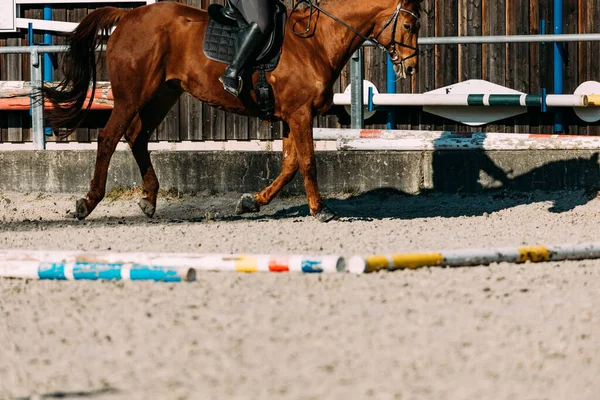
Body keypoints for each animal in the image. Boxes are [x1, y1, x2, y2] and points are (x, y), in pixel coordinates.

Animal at [43, 0, 422, 222]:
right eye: (409, 25)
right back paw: (87, 202)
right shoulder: (300, 114)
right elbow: (308, 162)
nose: (411, 68)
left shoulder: (291, 115)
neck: (316, 42)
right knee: (109, 138)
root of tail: (128, 15)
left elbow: (290, 165)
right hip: (131, 96)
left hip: (163, 94)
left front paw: (251, 202)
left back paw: (149, 200)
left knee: (138, 137)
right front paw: (321, 209)